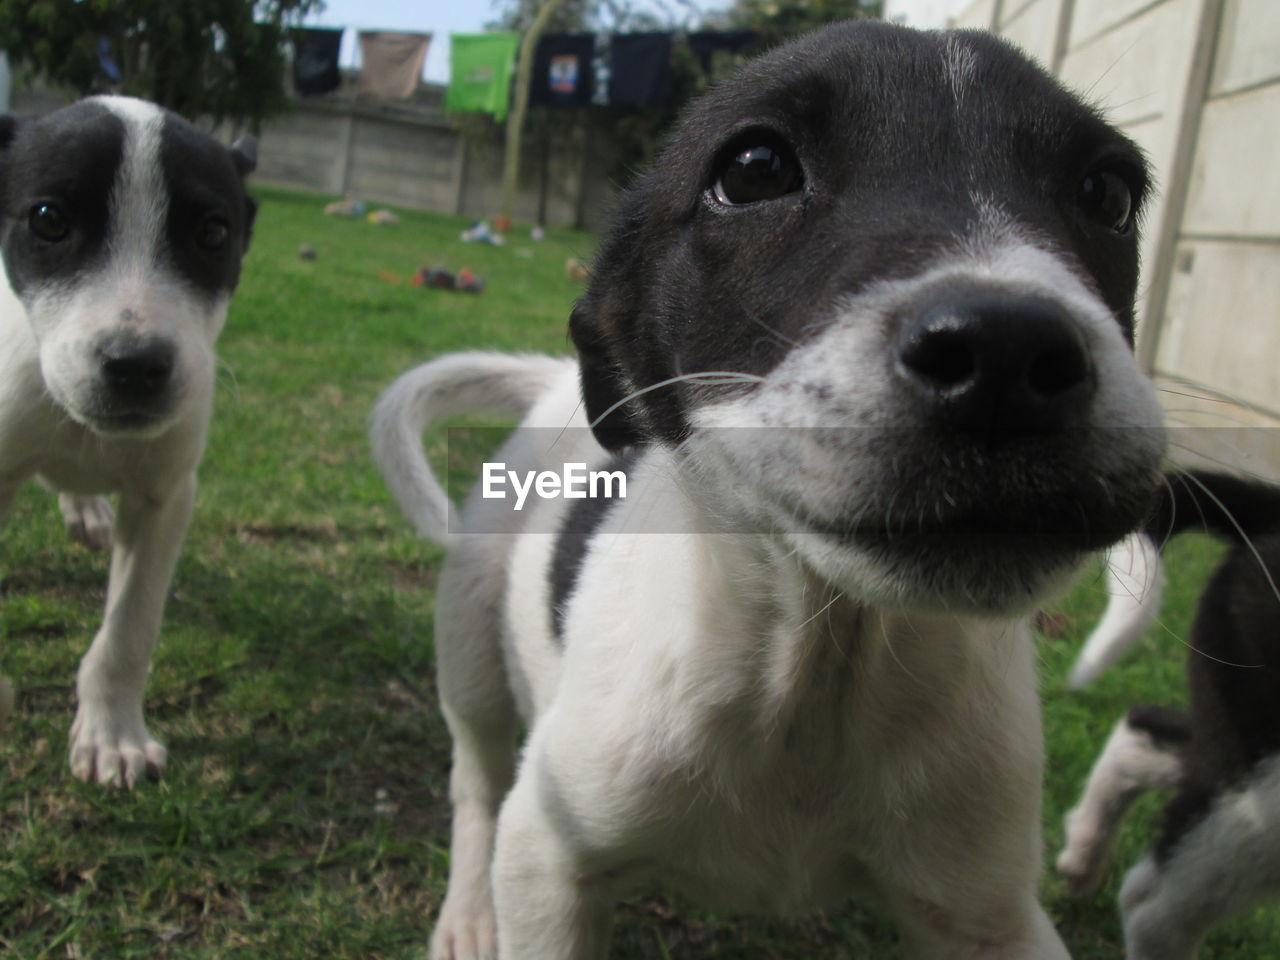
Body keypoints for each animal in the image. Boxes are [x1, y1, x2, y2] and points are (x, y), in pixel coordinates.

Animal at [0, 96, 257, 788]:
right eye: (48, 219)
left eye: (212, 235)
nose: (137, 365)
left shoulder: (164, 498)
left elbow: (129, 630)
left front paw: (112, 734)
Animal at [373, 22, 1172, 960]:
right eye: (755, 169)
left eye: (1106, 193)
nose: (1009, 354)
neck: (815, 676)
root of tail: (547, 384)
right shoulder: (548, 855)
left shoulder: (992, 916)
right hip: (468, 642)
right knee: (477, 777)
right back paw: (468, 911)